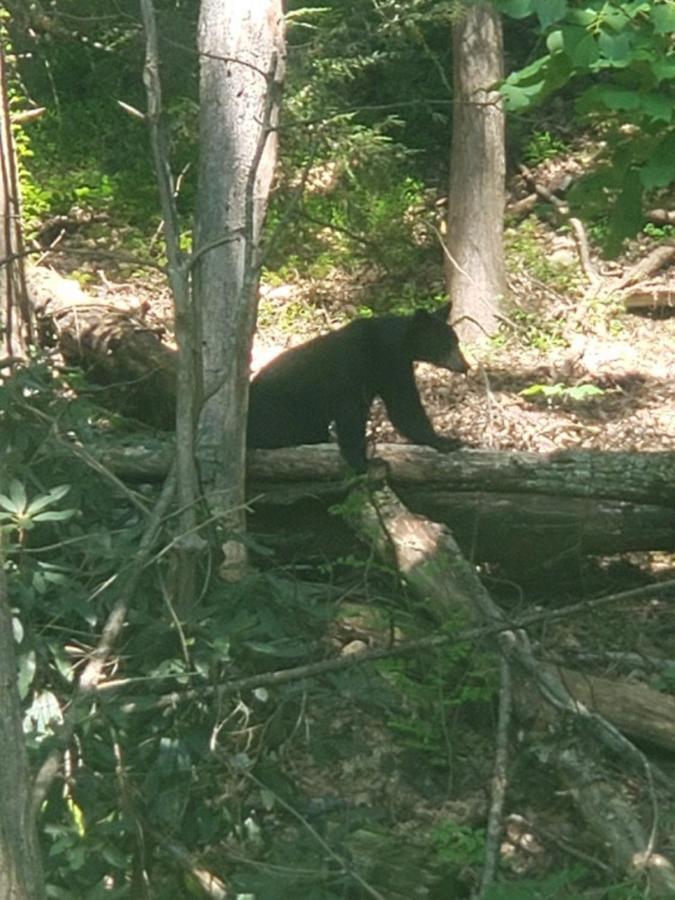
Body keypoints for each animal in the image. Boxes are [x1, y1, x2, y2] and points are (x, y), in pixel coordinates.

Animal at [248, 304, 470, 474]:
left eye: (456, 341)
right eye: (447, 344)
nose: (465, 366)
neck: (390, 344)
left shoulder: (389, 371)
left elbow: (402, 407)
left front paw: (444, 440)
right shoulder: (358, 370)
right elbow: (354, 415)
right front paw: (364, 462)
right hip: (283, 411)